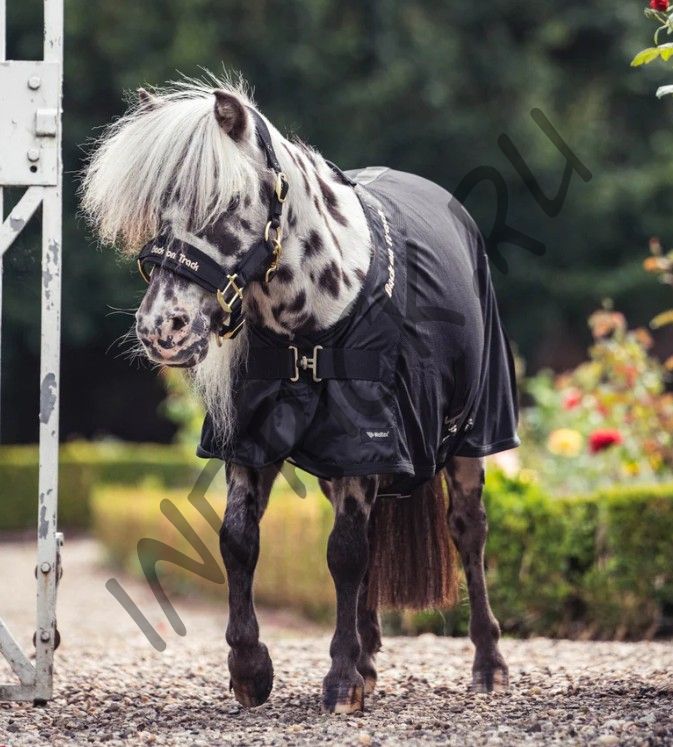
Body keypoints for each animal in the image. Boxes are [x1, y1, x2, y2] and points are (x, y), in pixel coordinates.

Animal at [81, 75, 519, 715]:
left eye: (227, 205)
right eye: (160, 210)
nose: (163, 329)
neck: (309, 325)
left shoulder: (364, 439)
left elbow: (343, 553)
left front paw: (339, 680)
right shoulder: (253, 444)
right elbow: (240, 542)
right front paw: (251, 669)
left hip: (468, 439)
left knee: (468, 530)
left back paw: (488, 665)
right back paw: (369, 657)